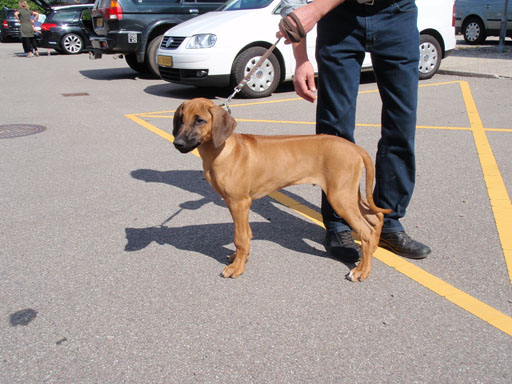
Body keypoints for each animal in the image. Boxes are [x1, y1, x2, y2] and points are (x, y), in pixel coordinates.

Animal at [173, 97, 392, 280]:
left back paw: (361, 271)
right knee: (376, 218)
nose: (177, 143)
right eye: (181, 119)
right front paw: (240, 258)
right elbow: (246, 235)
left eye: (200, 120)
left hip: (340, 197)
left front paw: (237, 268)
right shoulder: (240, 205)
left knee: (366, 231)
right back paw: (371, 253)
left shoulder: (239, 203)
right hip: (348, 192)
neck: (222, 149)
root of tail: (355, 147)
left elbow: (240, 237)